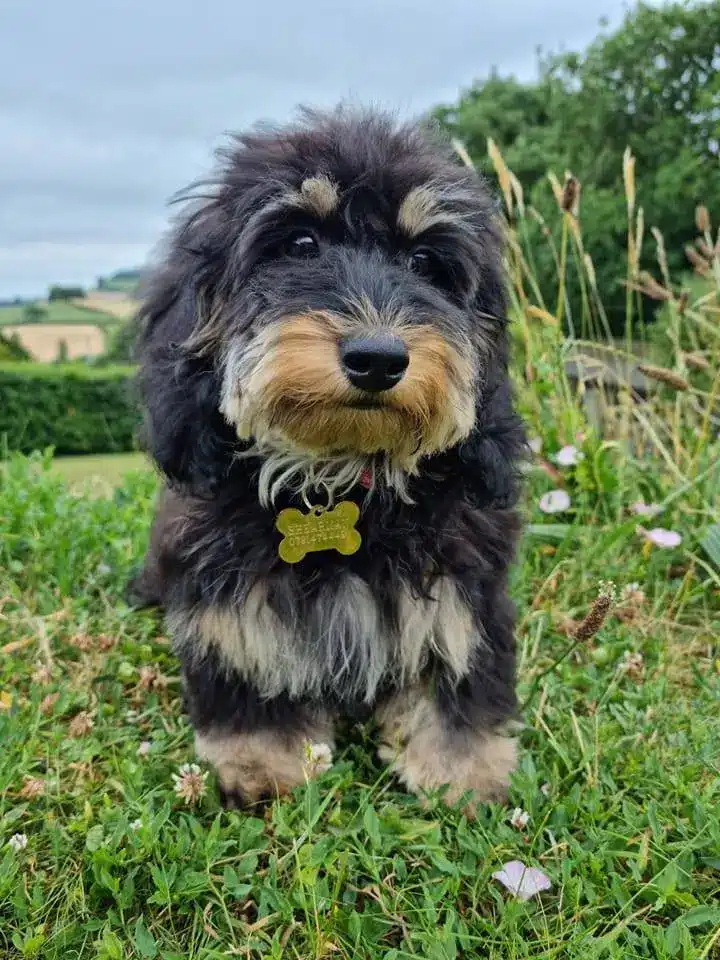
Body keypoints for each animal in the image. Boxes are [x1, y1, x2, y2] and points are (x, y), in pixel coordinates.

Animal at [129, 107, 524, 808]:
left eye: (425, 260)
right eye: (300, 244)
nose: (378, 358)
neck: (338, 478)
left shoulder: (466, 590)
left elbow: (460, 677)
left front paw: (462, 769)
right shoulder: (228, 601)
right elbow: (248, 670)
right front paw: (263, 759)